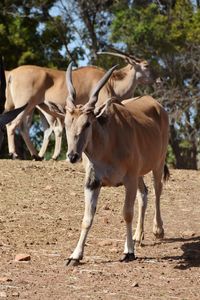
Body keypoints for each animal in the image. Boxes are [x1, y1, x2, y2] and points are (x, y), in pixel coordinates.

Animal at [2, 49, 157, 159]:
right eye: (146, 65)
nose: (159, 79)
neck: (111, 83)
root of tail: (11, 73)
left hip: (37, 107)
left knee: (30, 128)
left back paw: (37, 155)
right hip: (25, 105)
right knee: (13, 125)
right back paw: (15, 154)